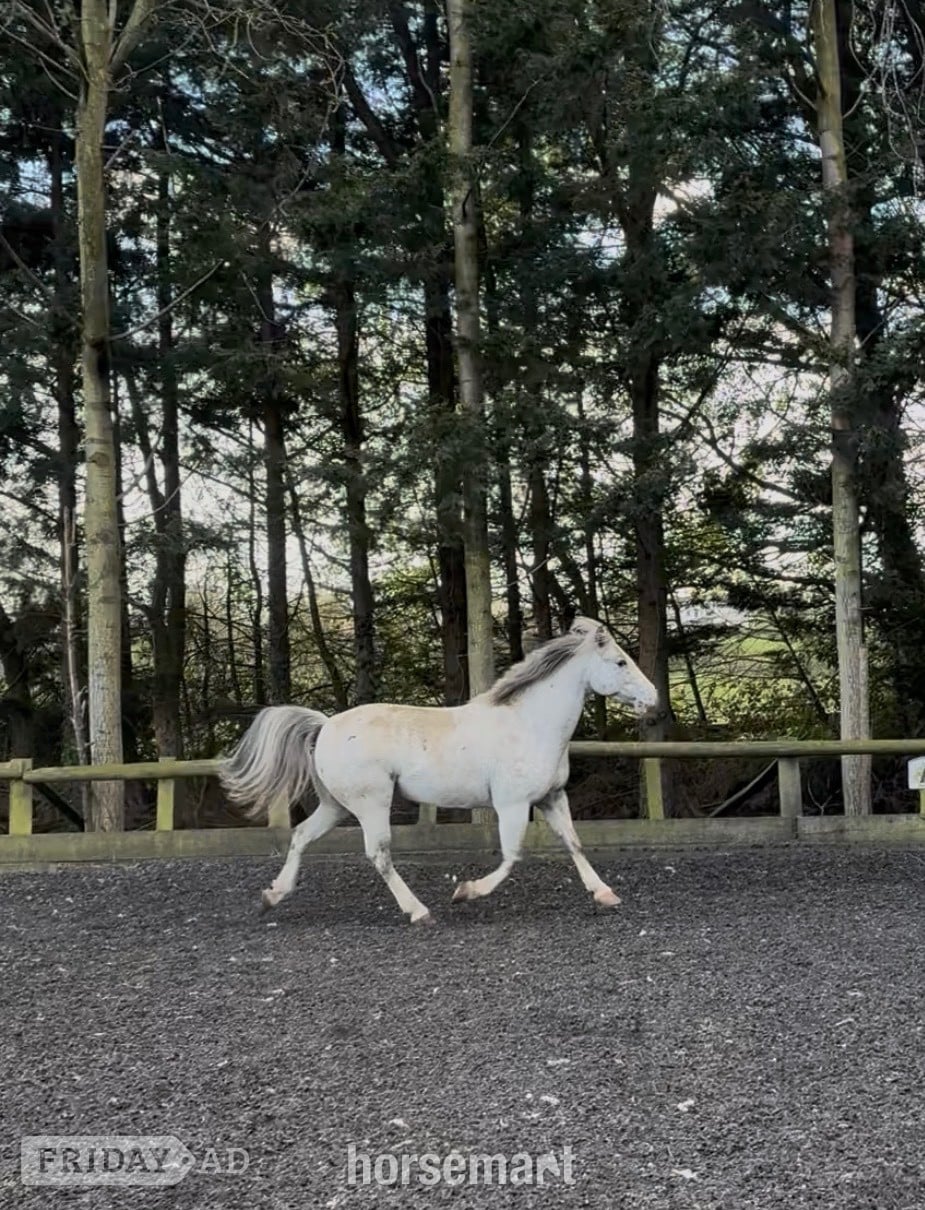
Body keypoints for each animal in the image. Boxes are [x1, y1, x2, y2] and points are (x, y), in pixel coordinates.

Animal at [219, 617, 659, 924]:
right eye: (620, 661)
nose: (653, 698)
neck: (530, 724)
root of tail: (325, 725)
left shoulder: (552, 797)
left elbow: (574, 844)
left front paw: (605, 894)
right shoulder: (513, 805)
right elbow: (512, 856)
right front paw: (465, 891)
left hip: (336, 806)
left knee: (300, 836)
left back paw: (271, 896)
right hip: (370, 803)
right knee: (378, 854)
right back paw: (419, 912)